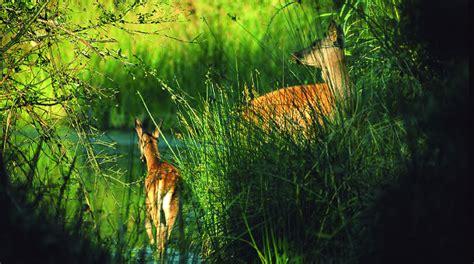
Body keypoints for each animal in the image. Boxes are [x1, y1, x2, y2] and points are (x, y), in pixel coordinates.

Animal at [135, 118, 185, 258]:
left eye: (139, 141)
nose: (141, 158)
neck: (154, 163)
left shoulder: (147, 200)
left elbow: (146, 223)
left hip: (154, 202)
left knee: (158, 227)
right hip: (174, 204)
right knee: (168, 230)